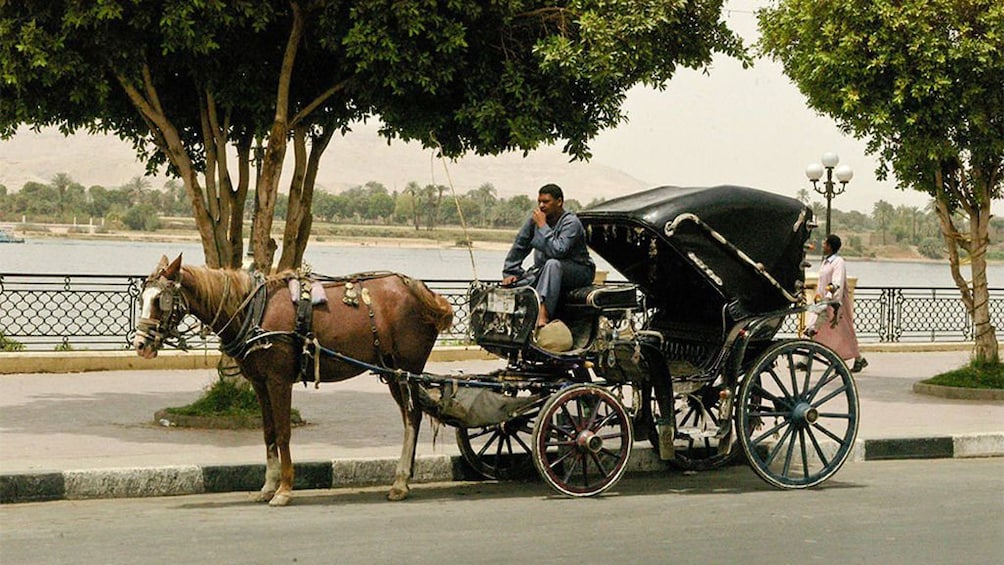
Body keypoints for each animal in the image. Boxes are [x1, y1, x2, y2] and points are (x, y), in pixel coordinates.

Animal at [131, 253, 453, 505]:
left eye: (160, 299)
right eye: (142, 297)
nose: (141, 344)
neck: (254, 310)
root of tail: (424, 293)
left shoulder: (278, 380)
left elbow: (284, 432)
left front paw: (284, 489)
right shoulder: (260, 383)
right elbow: (269, 433)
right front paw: (268, 485)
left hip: (407, 369)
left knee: (412, 418)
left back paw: (400, 482)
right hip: (392, 371)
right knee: (411, 416)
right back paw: (403, 480)